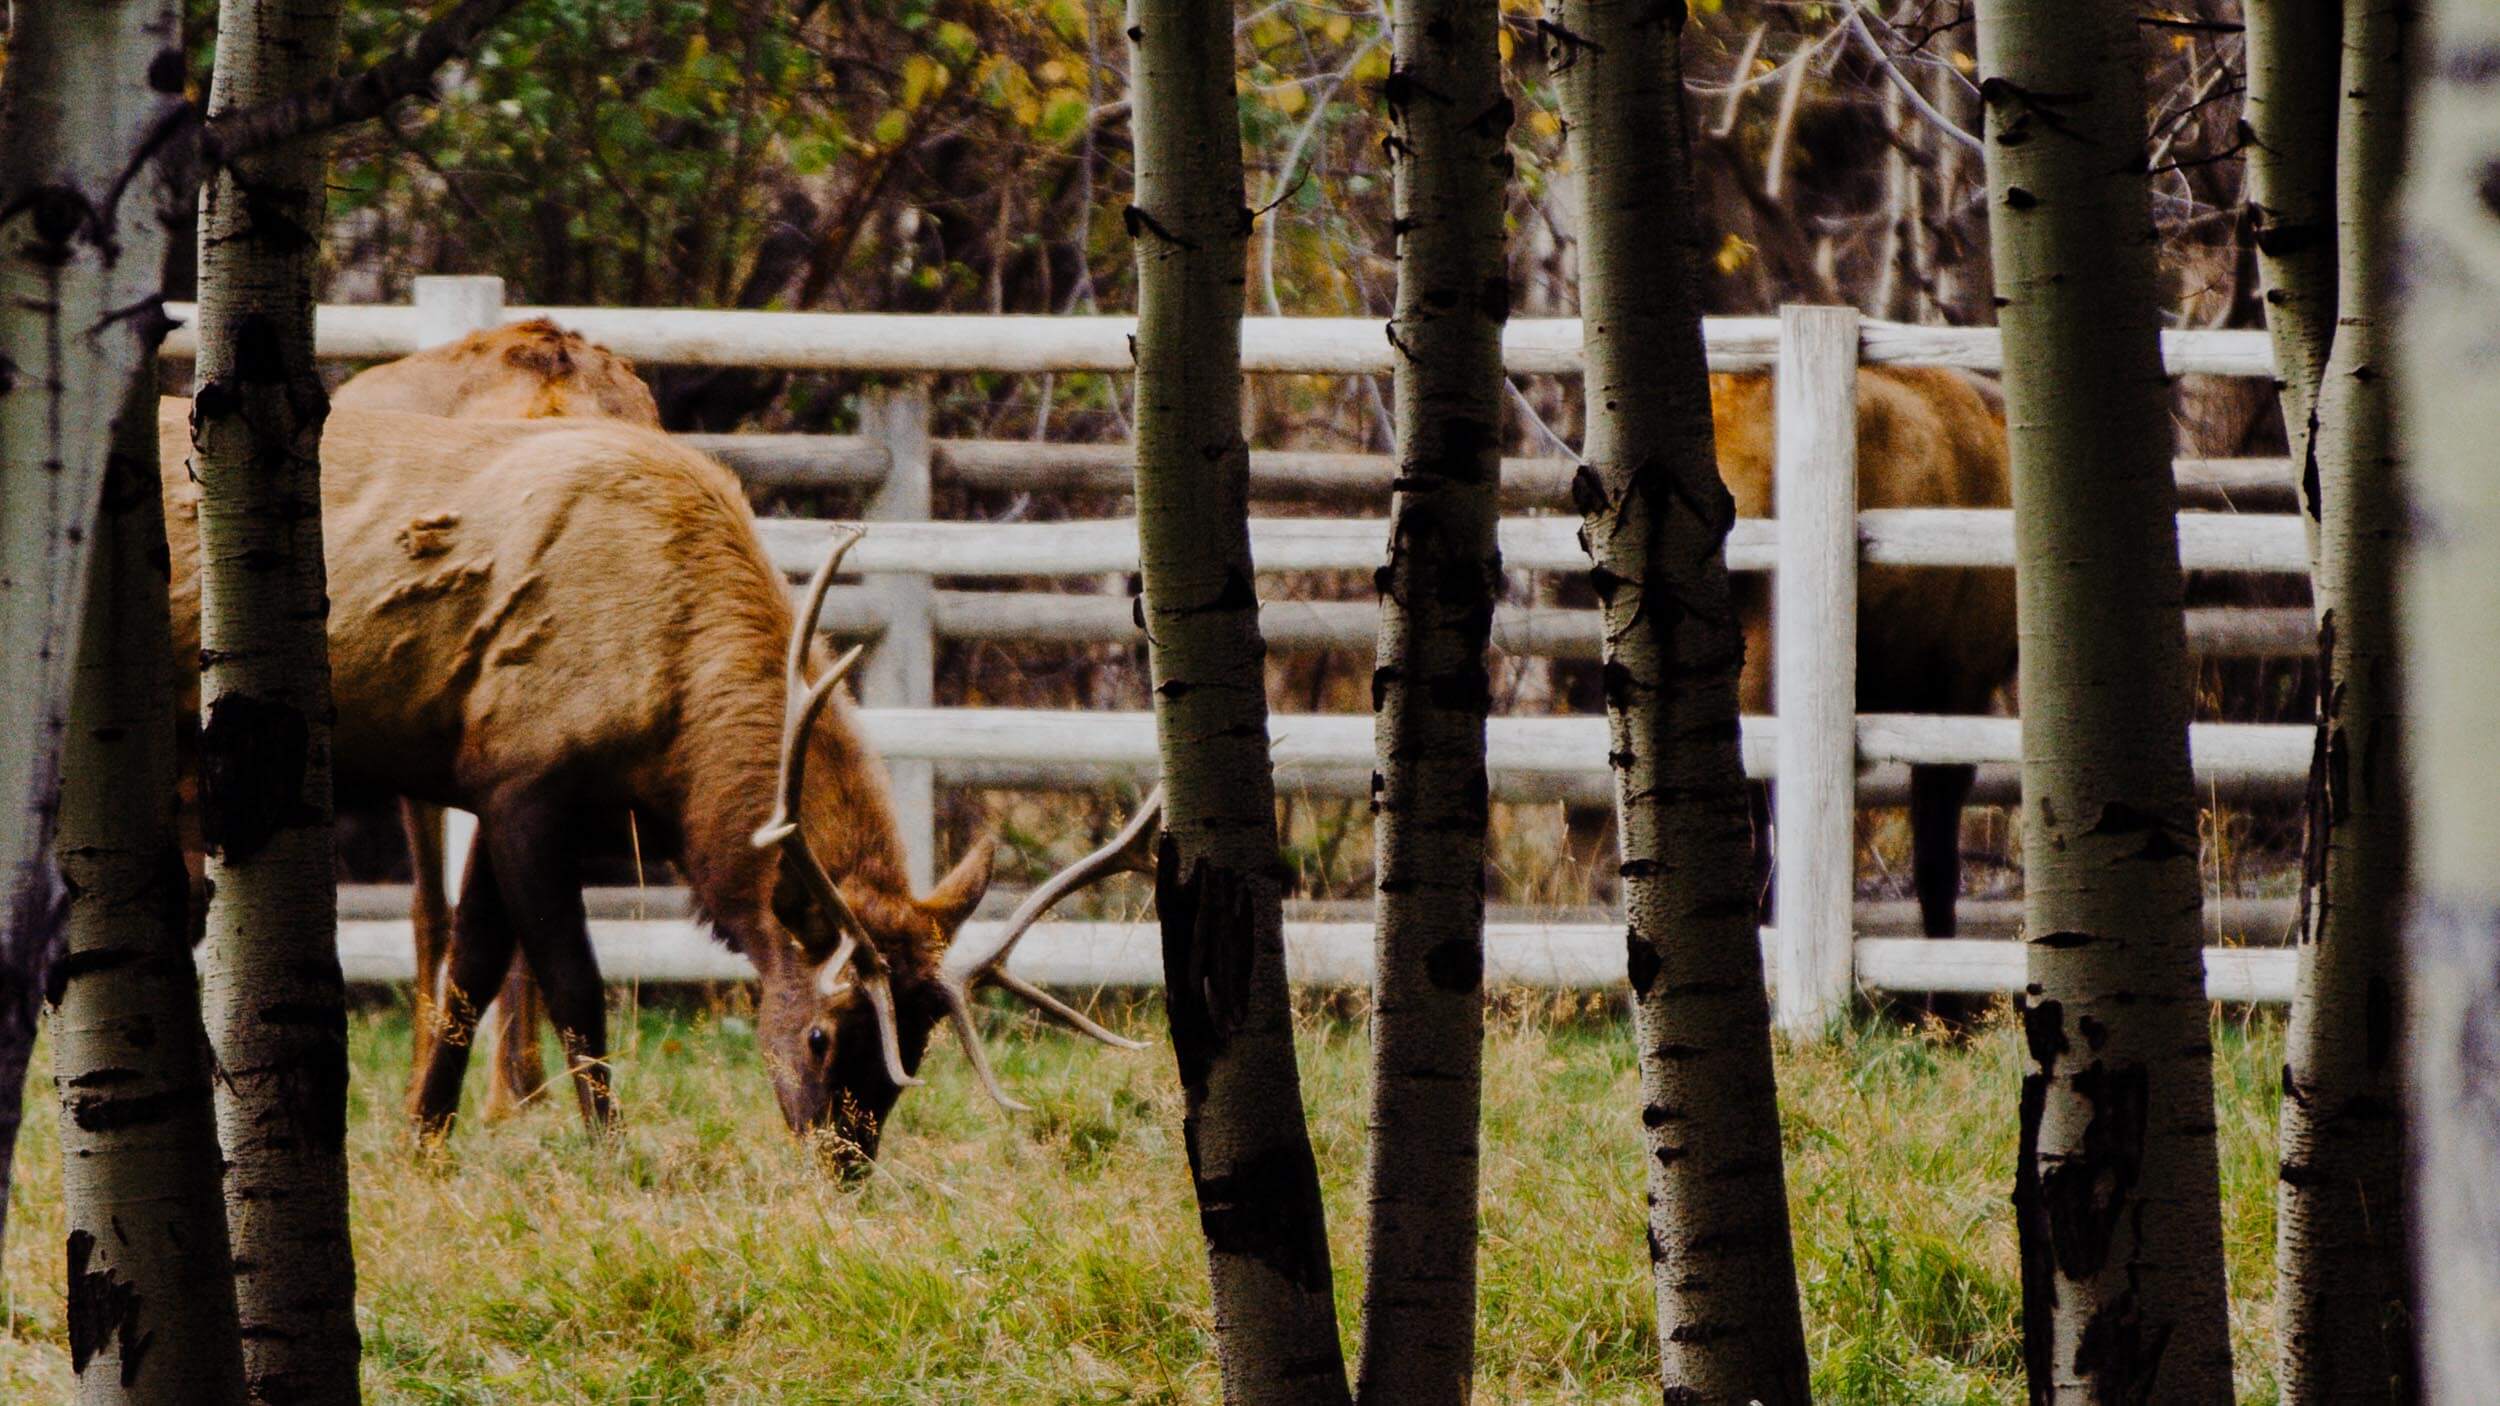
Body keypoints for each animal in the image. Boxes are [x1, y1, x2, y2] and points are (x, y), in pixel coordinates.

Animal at [161, 397, 1155, 1160]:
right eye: (822, 1033)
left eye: (920, 1038)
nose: (846, 1161)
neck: (674, 747)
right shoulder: (526, 779)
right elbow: (573, 984)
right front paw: (610, 1150)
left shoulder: (492, 779)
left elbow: (471, 973)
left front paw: (424, 1143)